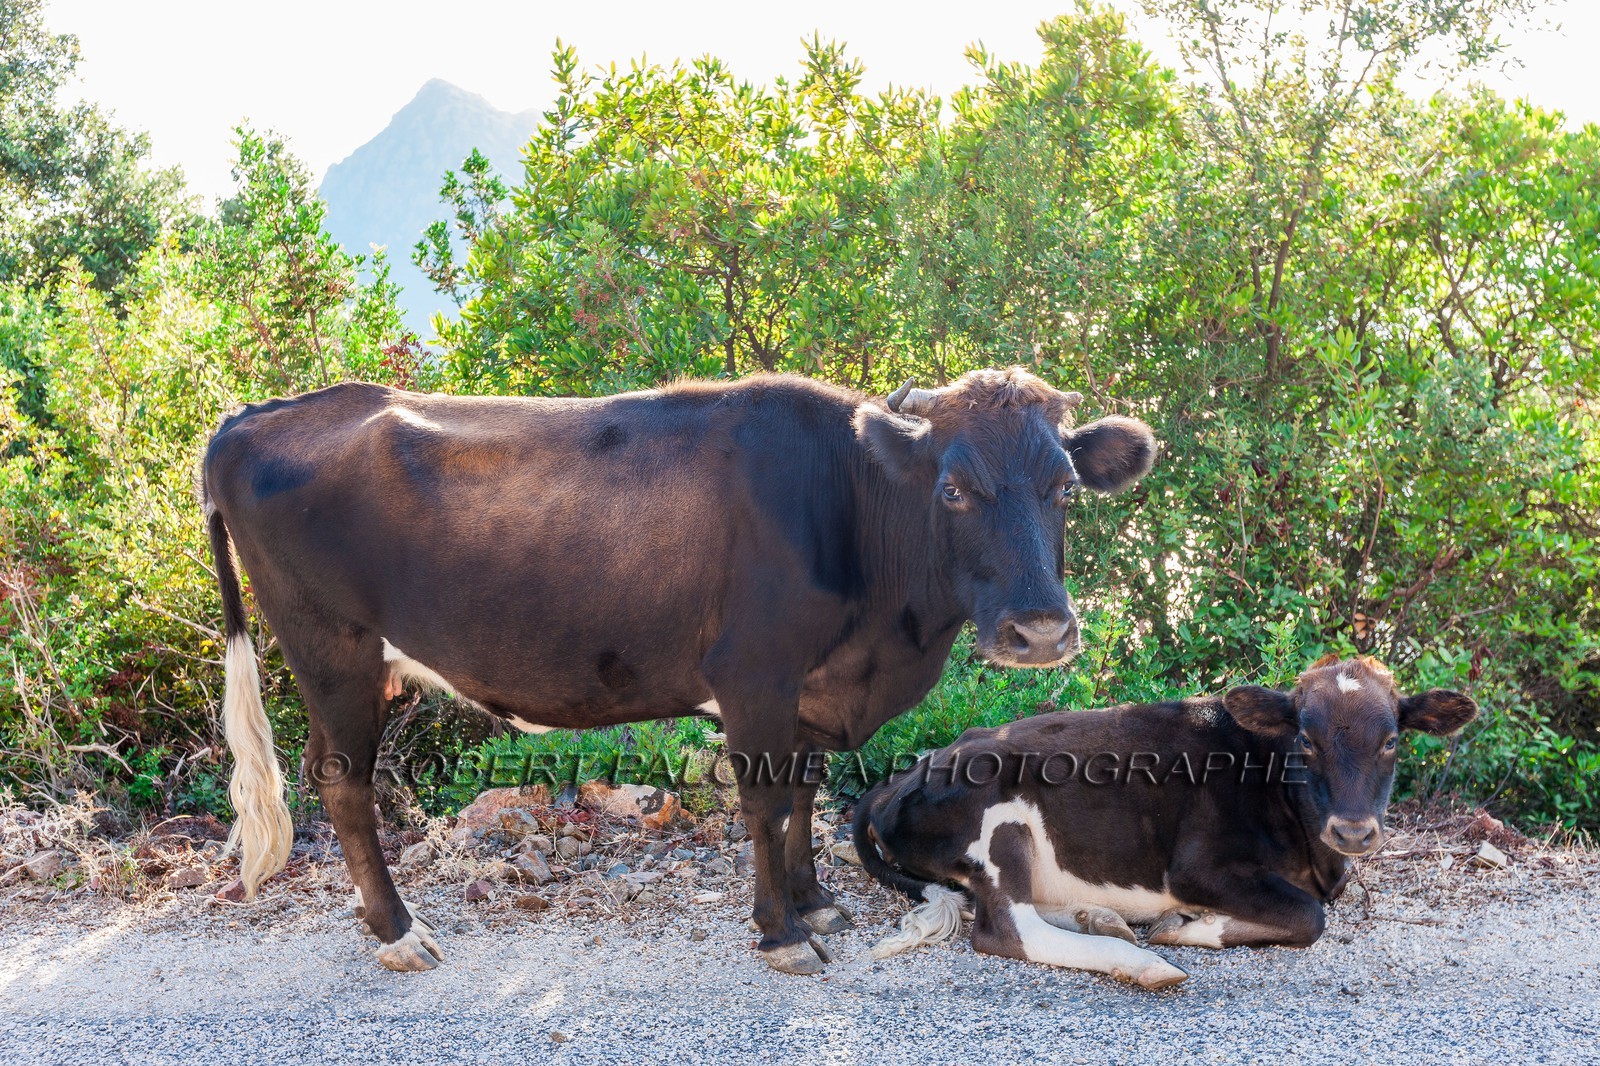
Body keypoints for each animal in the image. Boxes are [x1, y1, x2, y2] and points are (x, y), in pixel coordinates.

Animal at [200, 367, 1156, 974]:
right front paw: (782, 935)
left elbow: (804, 792)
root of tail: (256, 415)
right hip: (333, 650)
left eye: (1065, 487)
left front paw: (815, 901)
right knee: (342, 783)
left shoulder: (810, 688)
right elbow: (765, 803)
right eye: (952, 489)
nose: (1040, 631)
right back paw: (399, 933)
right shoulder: (754, 673)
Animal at [852, 654, 1478, 988]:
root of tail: (900, 777)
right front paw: (1188, 926)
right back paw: (1142, 959)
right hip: (998, 815)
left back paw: (1101, 918)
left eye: (1391, 740)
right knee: (1006, 929)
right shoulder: (1197, 868)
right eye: (1307, 739)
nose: (1353, 830)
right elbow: (1309, 917)